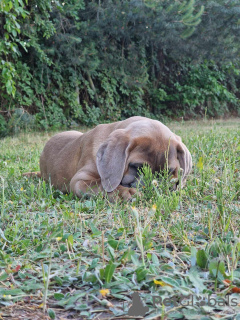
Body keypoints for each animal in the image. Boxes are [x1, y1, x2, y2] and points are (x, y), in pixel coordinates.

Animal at [33, 115, 192, 200]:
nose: (155, 186)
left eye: (169, 171)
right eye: (137, 167)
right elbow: (101, 185)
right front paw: (125, 192)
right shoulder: (79, 181)